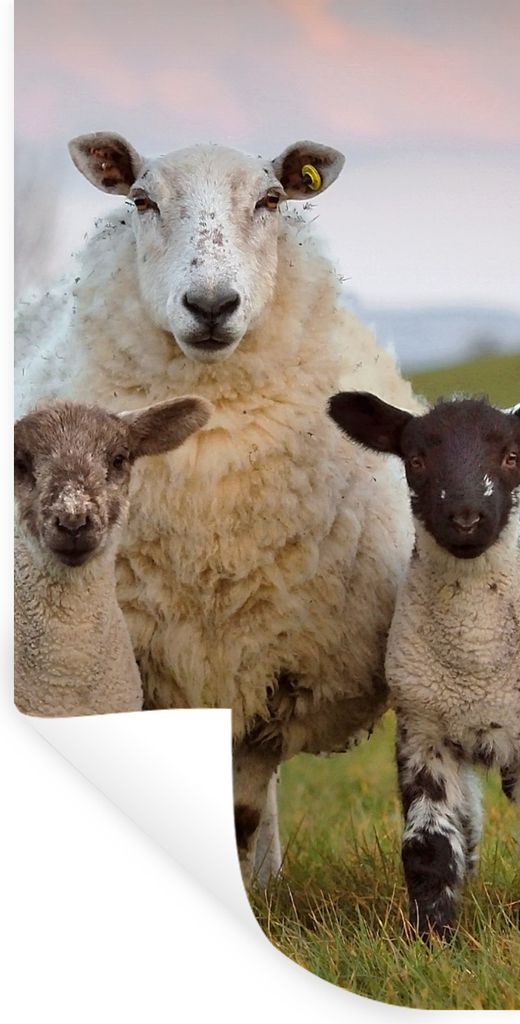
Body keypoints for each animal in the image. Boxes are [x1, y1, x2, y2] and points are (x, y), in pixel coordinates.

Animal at [328, 391, 520, 939]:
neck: (476, 659)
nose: (465, 518)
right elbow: (428, 847)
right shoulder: (423, 730)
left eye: (511, 456)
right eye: (415, 461)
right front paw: (433, 938)